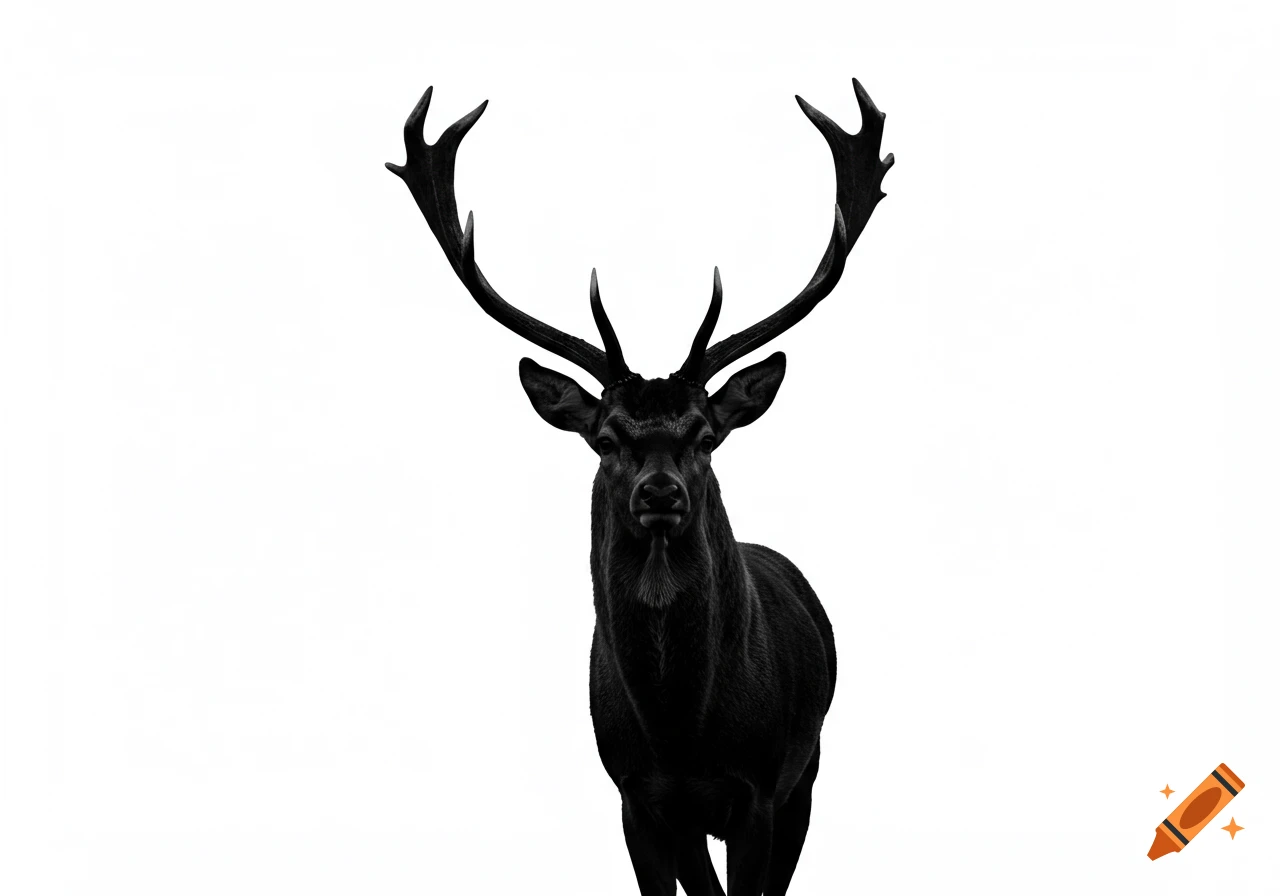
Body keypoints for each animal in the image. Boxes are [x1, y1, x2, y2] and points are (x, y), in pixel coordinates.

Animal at [386, 78, 892, 896]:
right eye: (609, 435)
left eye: (703, 433)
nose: (660, 493)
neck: (681, 732)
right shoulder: (636, 799)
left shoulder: (760, 789)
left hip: (809, 768)